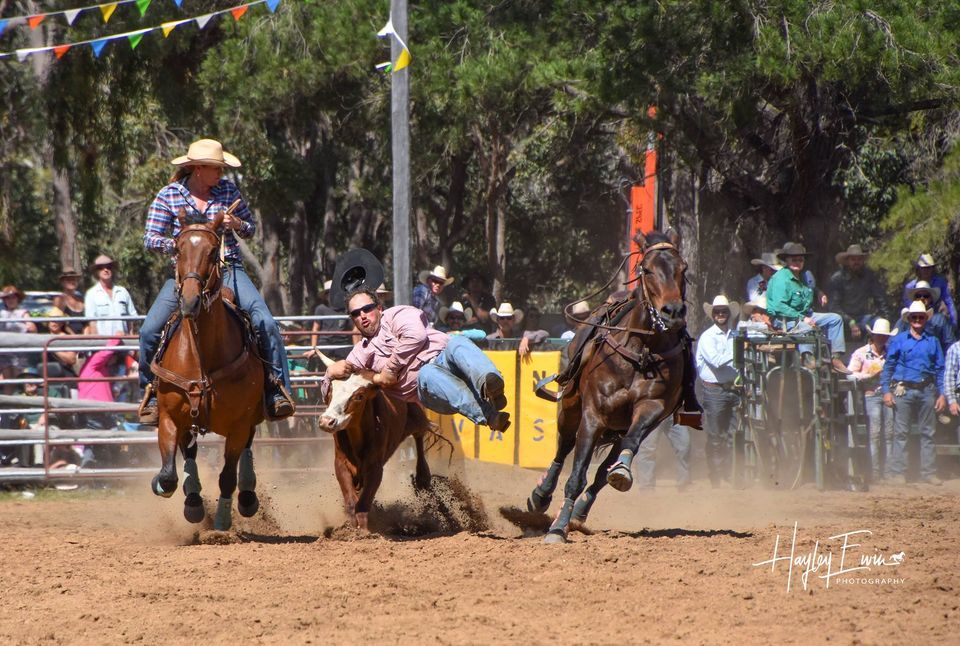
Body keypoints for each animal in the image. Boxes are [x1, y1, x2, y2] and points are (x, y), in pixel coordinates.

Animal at [149, 213, 266, 532]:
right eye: (178, 250)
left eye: (214, 253)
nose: (190, 302)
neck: (202, 357)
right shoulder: (170, 417)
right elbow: (169, 474)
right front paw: (177, 494)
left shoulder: (238, 424)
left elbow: (227, 476)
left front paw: (223, 521)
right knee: (189, 453)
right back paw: (193, 502)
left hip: (251, 417)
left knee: (247, 452)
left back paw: (248, 497)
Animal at [524, 230, 688, 544]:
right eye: (647, 270)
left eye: (683, 269)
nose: (673, 311)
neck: (641, 350)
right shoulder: (593, 415)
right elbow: (576, 475)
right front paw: (557, 529)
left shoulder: (651, 409)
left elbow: (623, 451)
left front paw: (621, 471)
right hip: (571, 408)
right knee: (563, 450)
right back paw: (541, 495)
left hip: (619, 428)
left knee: (603, 470)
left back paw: (581, 511)